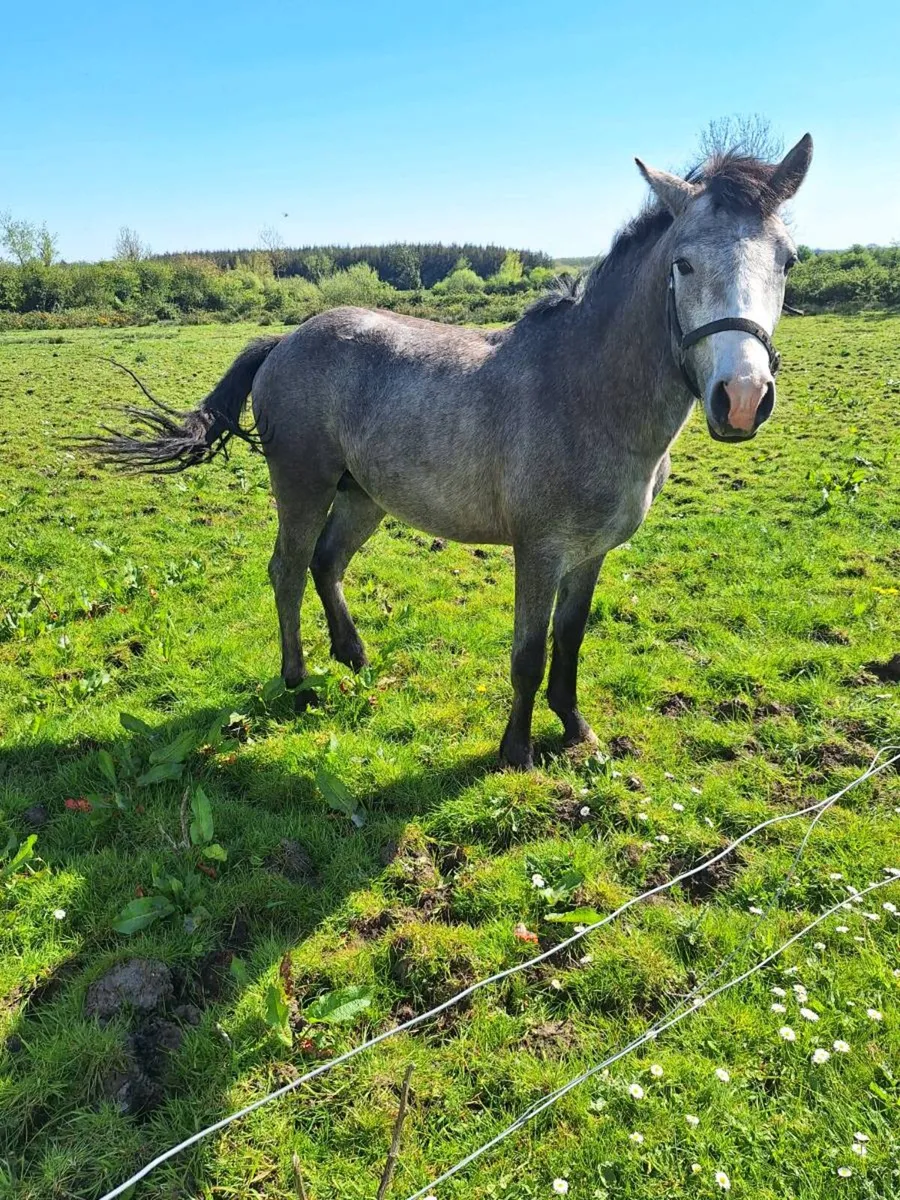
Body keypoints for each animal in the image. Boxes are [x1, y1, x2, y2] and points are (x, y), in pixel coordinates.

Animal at [84, 134, 813, 769]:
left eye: (787, 260)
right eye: (682, 262)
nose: (742, 397)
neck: (585, 391)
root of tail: (285, 340)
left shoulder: (593, 552)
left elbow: (570, 641)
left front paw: (575, 728)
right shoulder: (539, 549)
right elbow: (528, 652)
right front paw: (516, 750)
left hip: (364, 496)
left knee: (326, 563)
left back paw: (355, 657)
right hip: (302, 487)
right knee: (287, 570)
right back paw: (297, 678)